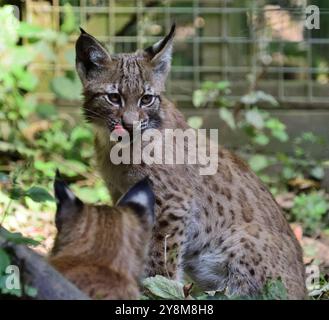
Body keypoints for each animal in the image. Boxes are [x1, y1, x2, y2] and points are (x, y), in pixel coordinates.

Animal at [74, 26, 304, 298]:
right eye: (113, 97)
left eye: (146, 99)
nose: (129, 125)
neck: (116, 148)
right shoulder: (120, 192)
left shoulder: (173, 202)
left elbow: (161, 256)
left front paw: (157, 289)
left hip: (242, 239)